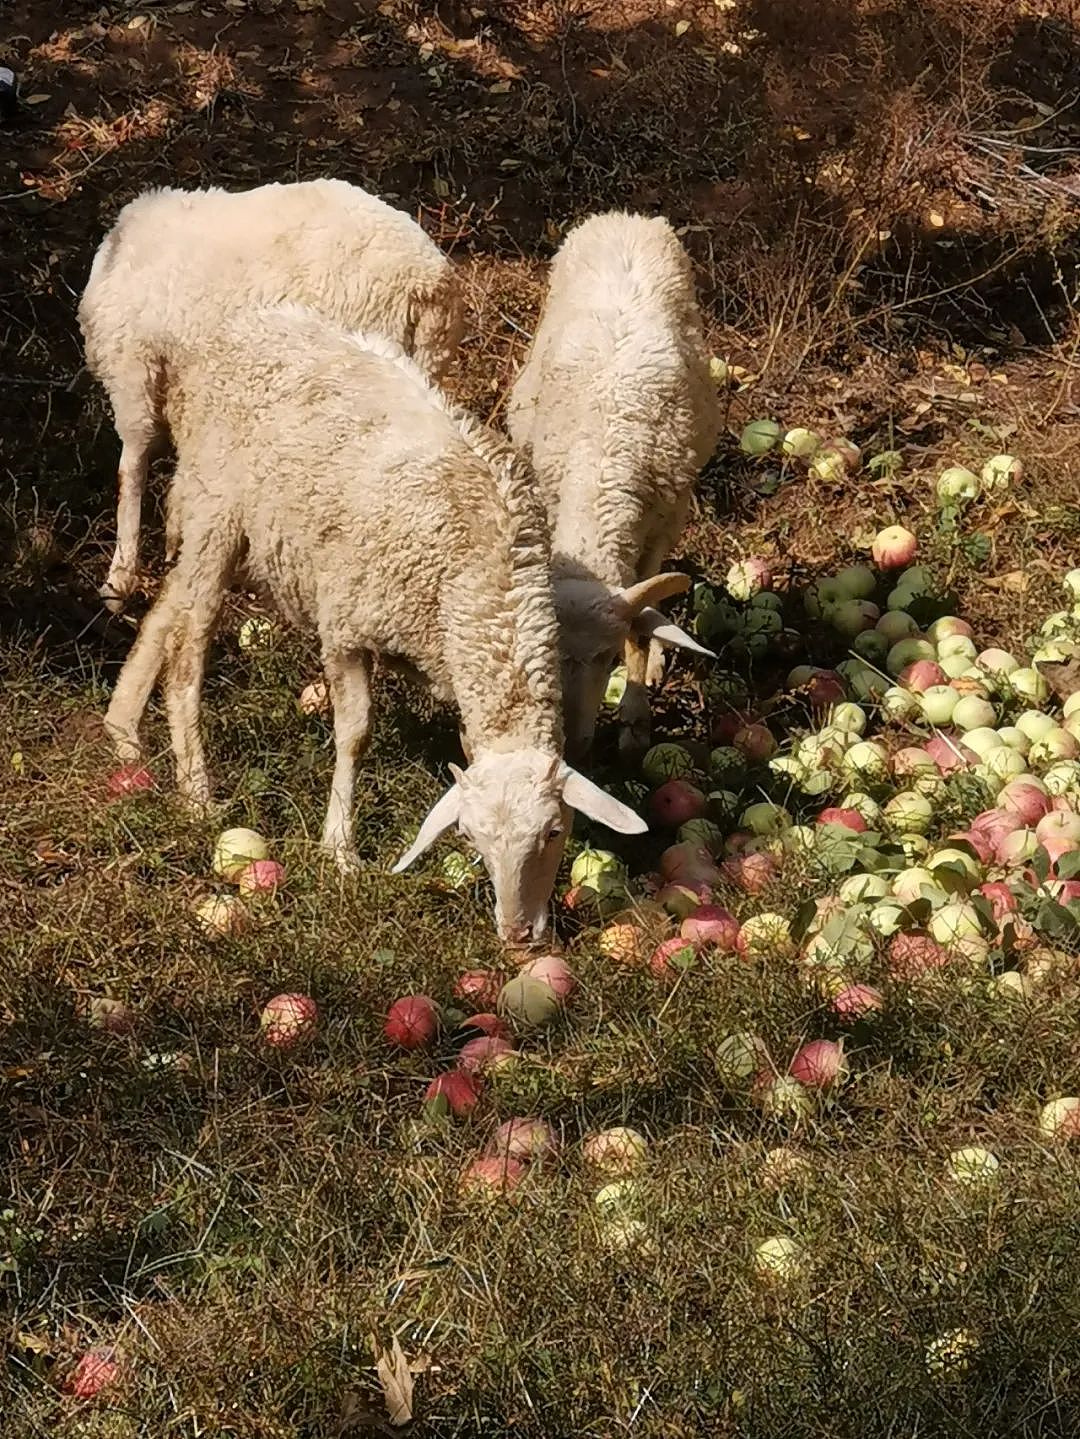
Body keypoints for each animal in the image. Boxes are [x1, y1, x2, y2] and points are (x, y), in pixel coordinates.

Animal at [101, 306, 647, 943]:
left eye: (554, 832)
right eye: (473, 839)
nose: (517, 935)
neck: (481, 582)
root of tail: (245, 326)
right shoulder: (347, 623)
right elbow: (355, 732)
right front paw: (339, 848)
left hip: (224, 520)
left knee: (168, 606)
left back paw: (123, 729)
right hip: (218, 509)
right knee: (189, 643)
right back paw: (196, 791)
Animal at [506, 211, 719, 759]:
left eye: (605, 657)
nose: (576, 747)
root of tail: (626, 217)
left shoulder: (663, 524)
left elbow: (639, 632)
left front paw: (635, 715)